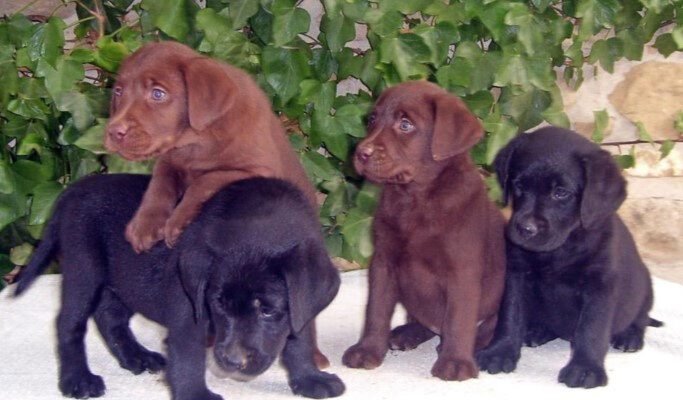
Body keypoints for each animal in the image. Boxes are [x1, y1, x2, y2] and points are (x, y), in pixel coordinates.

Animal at [14, 174, 348, 400]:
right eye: (219, 304)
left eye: (267, 310)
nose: (232, 362)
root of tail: (74, 189)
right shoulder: (189, 310)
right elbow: (188, 357)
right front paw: (196, 396)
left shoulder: (301, 304)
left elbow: (300, 340)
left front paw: (309, 379)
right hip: (83, 269)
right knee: (69, 323)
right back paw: (78, 379)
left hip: (121, 282)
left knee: (110, 317)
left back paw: (137, 357)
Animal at [105, 41, 318, 253]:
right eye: (118, 91)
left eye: (158, 94)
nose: (113, 132)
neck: (195, 143)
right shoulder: (168, 159)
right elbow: (158, 185)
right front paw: (144, 225)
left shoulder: (259, 169)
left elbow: (205, 180)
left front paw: (179, 221)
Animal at [342, 80, 508, 382]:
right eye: (371, 120)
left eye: (405, 125)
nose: (361, 152)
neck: (414, 198)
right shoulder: (383, 263)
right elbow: (376, 311)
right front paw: (368, 350)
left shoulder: (462, 269)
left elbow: (458, 319)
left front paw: (455, 362)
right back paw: (405, 334)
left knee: (487, 326)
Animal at [476, 127, 664, 388]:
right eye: (519, 185)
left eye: (561, 193)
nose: (525, 229)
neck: (560, 249)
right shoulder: (516, 275)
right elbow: (510, 316)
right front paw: (500, 352)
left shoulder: (600, 286)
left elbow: (592, 329)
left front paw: (585, 368)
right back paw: (537, 331)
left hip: (645, 287)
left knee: (640, 317)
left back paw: (629, 336)